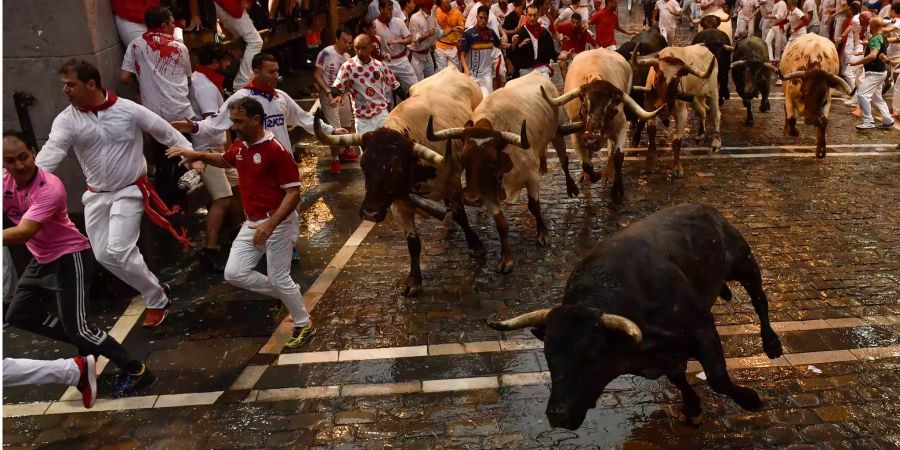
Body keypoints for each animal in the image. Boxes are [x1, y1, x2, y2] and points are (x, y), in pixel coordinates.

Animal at [316, 67, 486, 296]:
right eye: (363, 165)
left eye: (396, 170)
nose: (370, 213)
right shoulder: (399, 204)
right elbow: (413, 243)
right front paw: (414, 280)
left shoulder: (453, 185)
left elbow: (462, 216)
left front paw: (475, 245)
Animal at [428, 72, 576, 272]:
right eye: (464, 159)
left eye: (491, 161)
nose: (470, 199)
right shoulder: (487, 191)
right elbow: (501, 224)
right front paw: (506, 259)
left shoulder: (531, 177)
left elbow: (534, 206)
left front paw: (543, 234)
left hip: (557, 133)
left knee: (564, 162)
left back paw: (571, 187)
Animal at [486, 203, 780, 428]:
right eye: (548, 356)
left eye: (592, 359)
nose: (558, 415)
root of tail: (704, 209)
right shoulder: (664, 358)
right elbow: (678, 377)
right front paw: (693, 409)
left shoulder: (702, 327)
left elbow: (718, 378)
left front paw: (750, 399)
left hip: (745, 263)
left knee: (760, 301)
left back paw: (772, 344)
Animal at [536, 48, 656, 201]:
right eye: (584, 107)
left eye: (610, 110)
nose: (592, 140)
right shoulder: (577, 134)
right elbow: (586, 163)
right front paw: (593, 175)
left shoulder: (620, 128)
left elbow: (617, 157)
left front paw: (616, 190)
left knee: (610, 151)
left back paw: (607, 175)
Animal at [636, 44, 720, 178]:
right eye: (657, 77)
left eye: (676, 81)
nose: (662, 106)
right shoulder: (649, 108)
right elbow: (651, 131)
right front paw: (651, 160)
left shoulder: (682, 112)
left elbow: (676, 141)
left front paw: (677, 167)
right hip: (695, 97)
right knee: (702, 111)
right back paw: (700, 135)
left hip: (713, 92)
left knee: (716, 115)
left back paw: (716, 143)